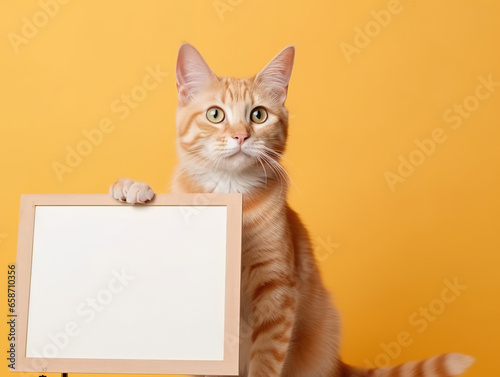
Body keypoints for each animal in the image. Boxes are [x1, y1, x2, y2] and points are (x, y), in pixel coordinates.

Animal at [111, 43, 474, 376]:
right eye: (215, 114)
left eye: (258, 115)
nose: (241, 136)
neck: (232, 189)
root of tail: (337, 363)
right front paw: (131, 188)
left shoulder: (277, 289)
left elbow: (266, 359)